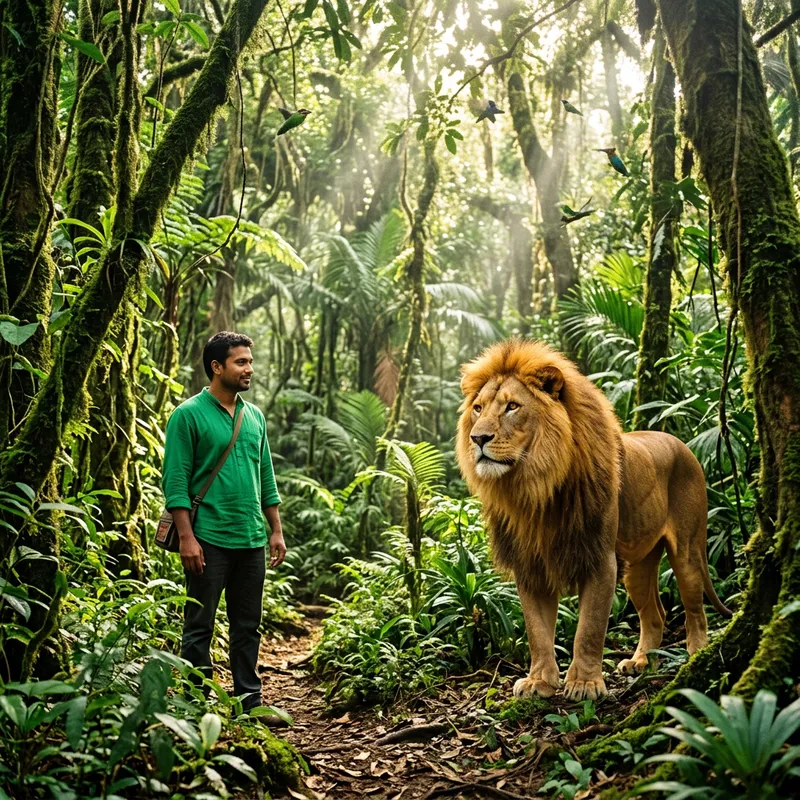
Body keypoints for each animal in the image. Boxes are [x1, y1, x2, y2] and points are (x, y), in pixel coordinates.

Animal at [456, 339, 731, 701]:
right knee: (655, 615)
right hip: (638, 567)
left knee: (695, 611)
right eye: (478, 408)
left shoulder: (600, 558)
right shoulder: (529, 565)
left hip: (687, 550)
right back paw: (640, 662)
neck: (534, 489)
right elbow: (537, 631)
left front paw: (585, 684)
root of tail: (681, 444)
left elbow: (589, 627)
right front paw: (539, 681)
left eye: (512, 406)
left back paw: (697, 655)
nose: (478, 438)